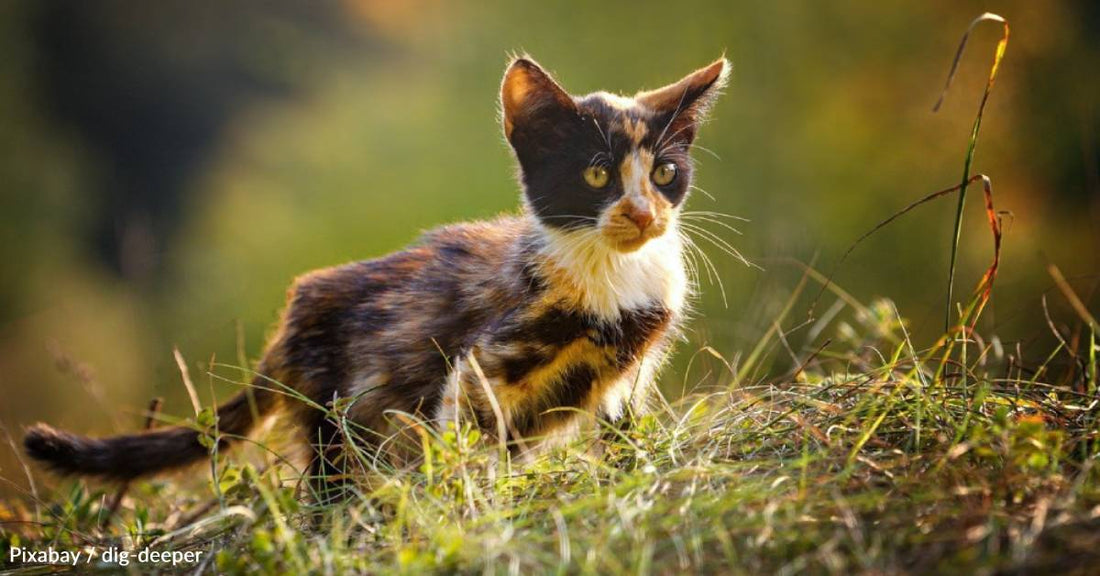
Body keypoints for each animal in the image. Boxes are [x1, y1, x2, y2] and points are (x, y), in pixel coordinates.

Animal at [23, 56, 730, 492]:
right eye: (596, 174)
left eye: (664, 173)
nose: (642, 213)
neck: (614, 275)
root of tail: (293, 314)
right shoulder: (484, 359)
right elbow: (467, 437)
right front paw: (480, 509)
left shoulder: (629, 375)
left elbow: (621, 432)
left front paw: (635, 476)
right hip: (338, 414)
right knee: (328, 486)